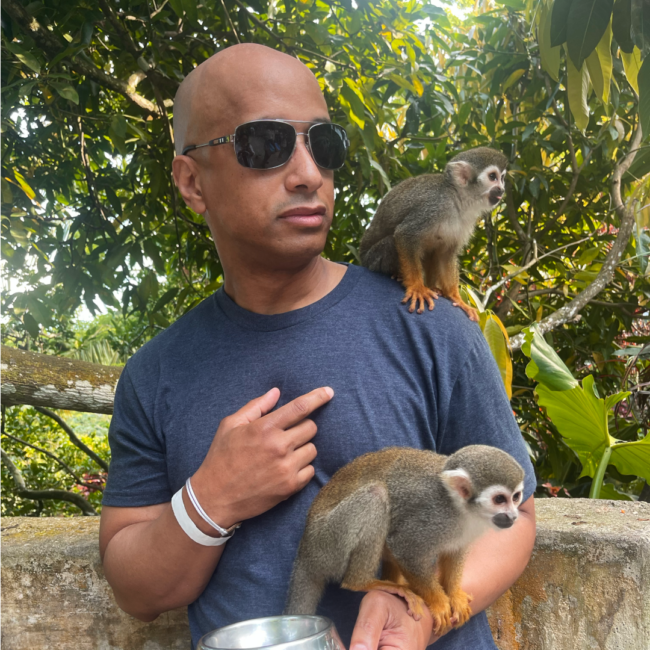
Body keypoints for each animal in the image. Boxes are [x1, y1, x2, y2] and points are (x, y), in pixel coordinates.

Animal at [284, 445, 524, 635]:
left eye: (516, 497)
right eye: (499, 499)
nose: (513, 516)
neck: (461, 509)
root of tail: (305, 552)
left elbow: (455, 552)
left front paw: (454, 594)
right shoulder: (434, 517)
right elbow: (406, 548)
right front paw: (438, 602)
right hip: (327, 541)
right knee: (375, 495)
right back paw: (363, 582)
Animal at [359, 147, 508, 321]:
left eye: (502, 178)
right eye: (492, 177)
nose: (502, 189)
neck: (458, 200)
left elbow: (445, 254)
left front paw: (456, 298)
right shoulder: (433, 206)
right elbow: (405, 233)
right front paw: (417, 287)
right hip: (372, 260)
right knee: (390, 242)